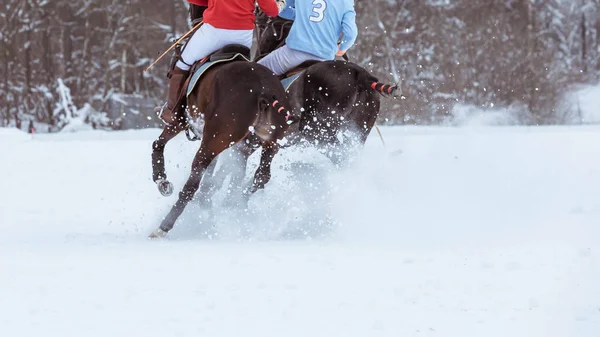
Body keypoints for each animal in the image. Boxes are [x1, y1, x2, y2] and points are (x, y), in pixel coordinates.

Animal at [148, 44, 292, 238]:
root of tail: (264, 91)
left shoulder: (181, 121)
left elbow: (158, 143)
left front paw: (162, 182)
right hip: (267, 143)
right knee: (260, 175)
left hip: (215, 138)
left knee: (192, 183)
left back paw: (163, 227)